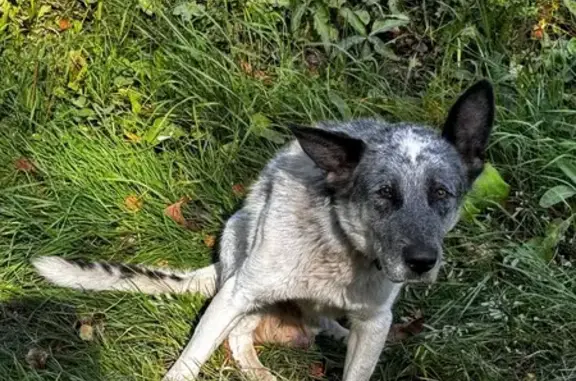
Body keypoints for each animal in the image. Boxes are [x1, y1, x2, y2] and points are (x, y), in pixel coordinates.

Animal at [32, 80, 496, 380]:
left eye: (441, 193)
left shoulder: (375, 321)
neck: (339, 246)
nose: (422, 262)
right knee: (239, 338)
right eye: (384, 193)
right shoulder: (238, 294)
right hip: (240, 275)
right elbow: (189, 361)